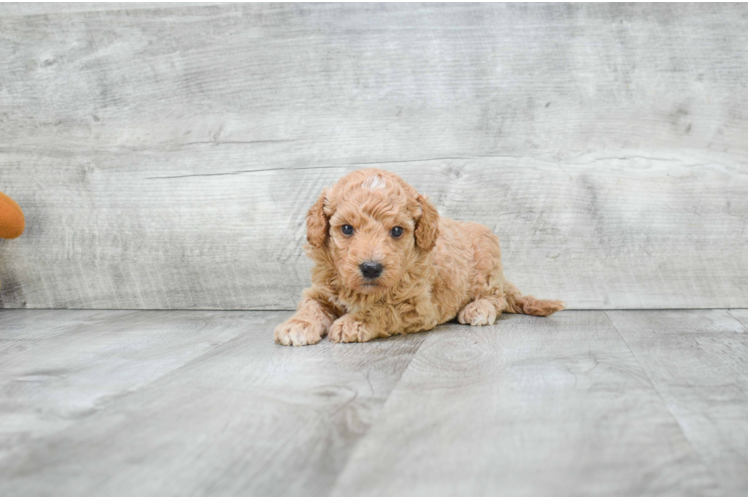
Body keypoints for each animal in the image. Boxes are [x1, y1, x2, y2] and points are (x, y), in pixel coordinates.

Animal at [274, 167, 560, 344]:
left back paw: (477, 309)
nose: (370, 268)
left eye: (397, 231)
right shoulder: (321, 291)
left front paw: (353, 322)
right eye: (346, 229)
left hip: (487, 262)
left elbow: (382, 310)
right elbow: (311, 305)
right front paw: (297, 325)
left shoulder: (416, 307)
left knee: (496, 298)